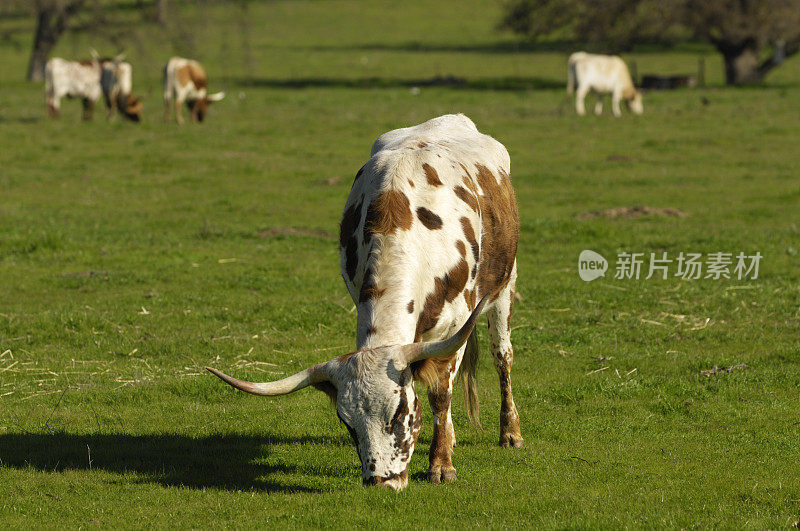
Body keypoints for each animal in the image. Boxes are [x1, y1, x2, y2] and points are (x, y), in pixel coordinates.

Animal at [205, 114, 524, 492]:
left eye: (399, 414)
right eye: (347, 422)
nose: (380, 482)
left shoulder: (456, 324)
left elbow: (440, 394)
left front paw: (441, 465)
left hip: (505, 286)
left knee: (502, 357)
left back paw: (510, 433)